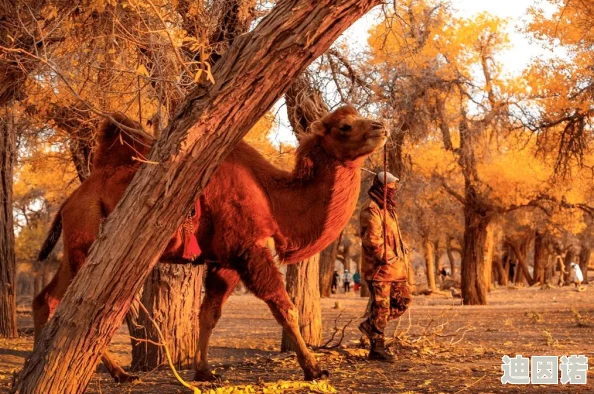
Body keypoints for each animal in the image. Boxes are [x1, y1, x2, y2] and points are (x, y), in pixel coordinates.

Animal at [38, 104, 388, 382]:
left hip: (76, 247)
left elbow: (208, 314)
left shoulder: (224, 261)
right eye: (344, 126)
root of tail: (70, 201)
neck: (273, 200)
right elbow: (284, 307)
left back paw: (112, 371)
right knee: (78, 308)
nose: (381, 126)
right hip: (87, 239)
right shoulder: (248, 249)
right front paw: (314, 369)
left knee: (48, 299)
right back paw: (115, 373)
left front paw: (204, 371)